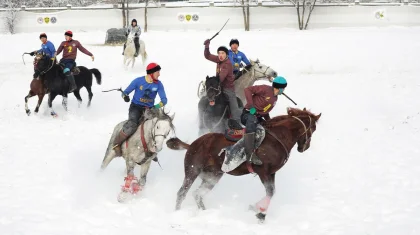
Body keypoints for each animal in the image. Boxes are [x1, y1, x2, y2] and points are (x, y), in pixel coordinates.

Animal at [167, 108, 322, 222]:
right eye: (313, 128)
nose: (304, 147)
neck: (278, 137)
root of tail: (194, 144)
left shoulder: (272, 173)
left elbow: (271, 192)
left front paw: (260, 213)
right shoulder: (263, 172)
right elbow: (270, 191)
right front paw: (259, 211)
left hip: (213, 176)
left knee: (197, 194)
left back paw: (205, 213)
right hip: (192, 171)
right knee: (182, 193)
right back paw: (177, 213)